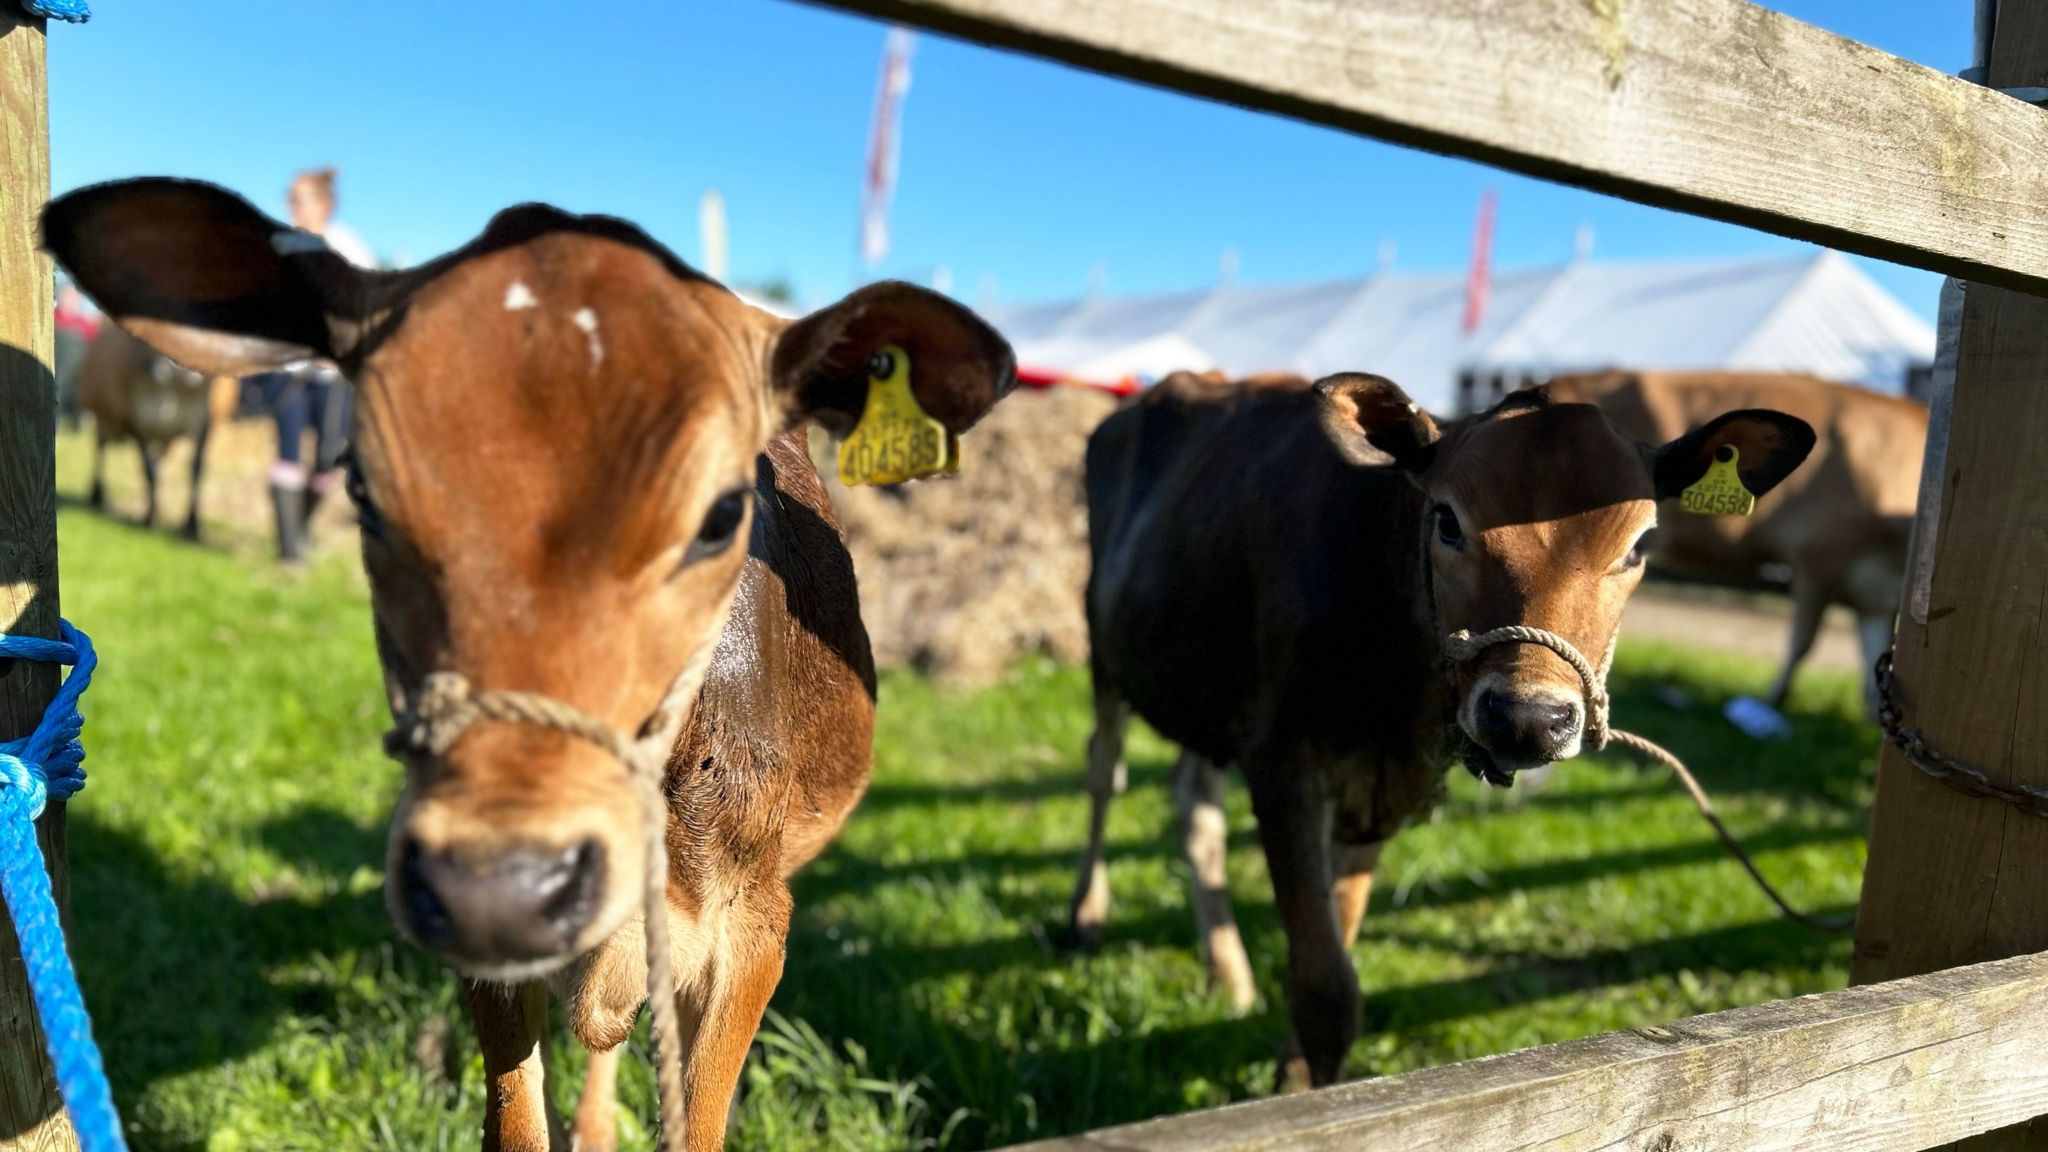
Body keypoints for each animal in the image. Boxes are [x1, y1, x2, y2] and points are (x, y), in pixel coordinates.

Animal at [1073, 375, 1810, 1082]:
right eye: (1447, 521)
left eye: (1640, 544)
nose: (1529, 717)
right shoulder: (1283, 761)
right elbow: (1325, 990)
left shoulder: (1374, 784)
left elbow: (1335, 942)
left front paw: (1297, 1077)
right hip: (1103, 648)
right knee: (1104, 769)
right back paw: (1086, 916)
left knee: (1192, 802)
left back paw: (1226, 974)